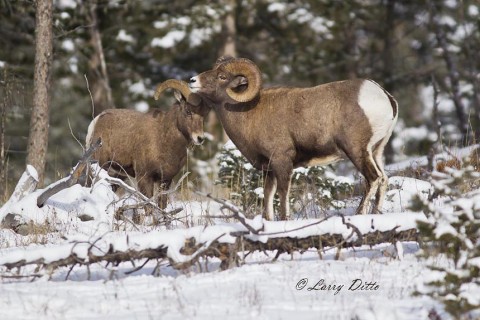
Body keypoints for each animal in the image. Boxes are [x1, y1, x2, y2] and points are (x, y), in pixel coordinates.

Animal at [86, 80, 208, 208]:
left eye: (203, 115)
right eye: (188, 111)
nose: (200, 138)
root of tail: (97, 119)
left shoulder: (165, 180)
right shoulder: (144, 177)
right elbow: (148, 205)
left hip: (118, 175)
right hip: (99, 165)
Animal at [188, 56, 398, 220]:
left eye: (222, 77)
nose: (192, 80)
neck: (247, 113)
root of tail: (385, 97)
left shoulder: (282, 161)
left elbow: (282, 193)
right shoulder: (268, 169)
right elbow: (268, 195)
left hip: (356, 150)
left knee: (373, 178)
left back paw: (360, 214)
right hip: (376, 151)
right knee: (384, 179)